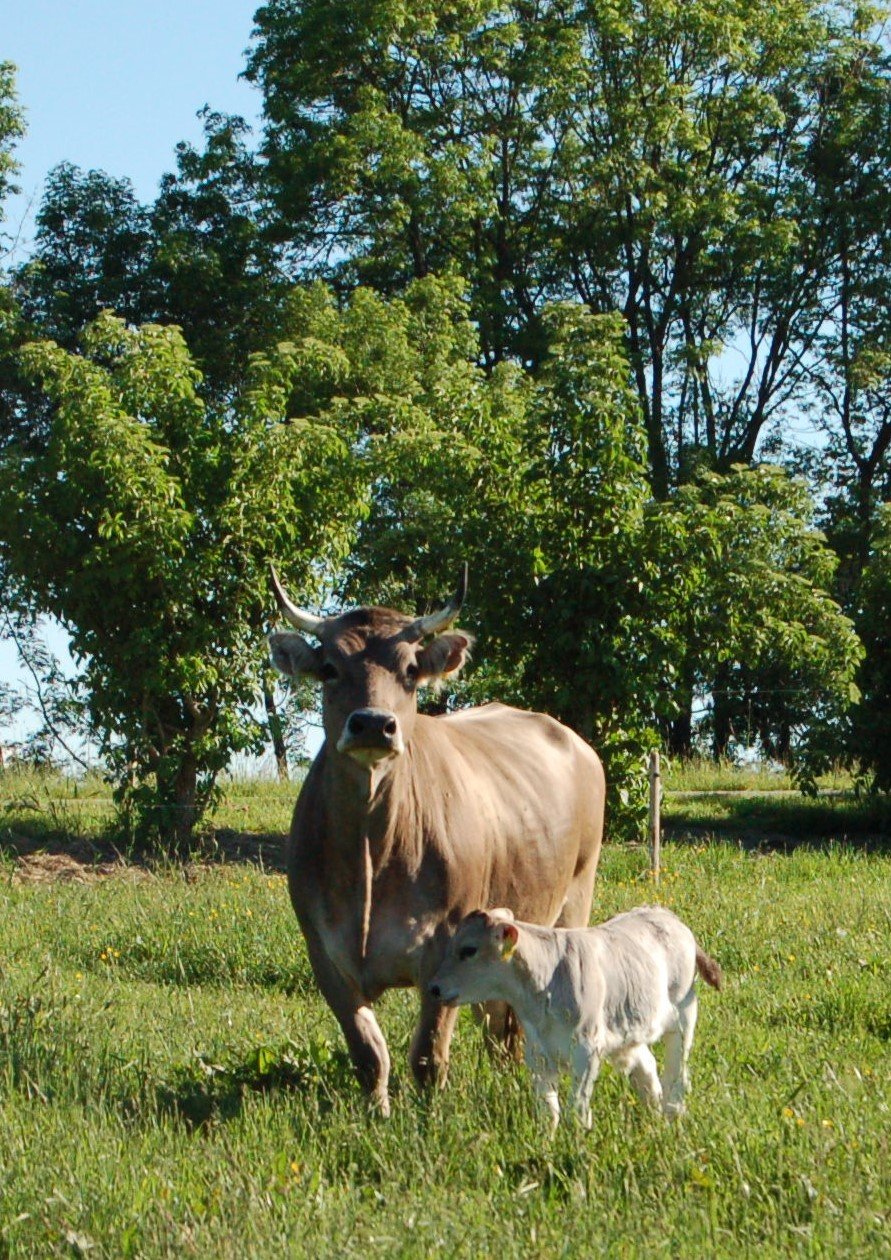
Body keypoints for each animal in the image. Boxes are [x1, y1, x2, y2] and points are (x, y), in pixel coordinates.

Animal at [268, 565, 606, 1115]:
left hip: (574, 897)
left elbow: (428, 1056)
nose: (372, 724)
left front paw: (428, 1121)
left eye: (409, 669)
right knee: (500, 1022)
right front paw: (377, 1115)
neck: (372, 853)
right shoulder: (324, 954)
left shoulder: (446, 945)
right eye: (330, 668)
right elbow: (369, 1054)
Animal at [428, 905, 722, 1131]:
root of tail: (669, 917)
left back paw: (672, 1114)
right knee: (647, 1066)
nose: (434, 988)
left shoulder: (587, 1049)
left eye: (468, 949)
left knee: (677, 1073)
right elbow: (549, 1110)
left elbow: (577, 1108)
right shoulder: (538, 1055)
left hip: (684, 1015)